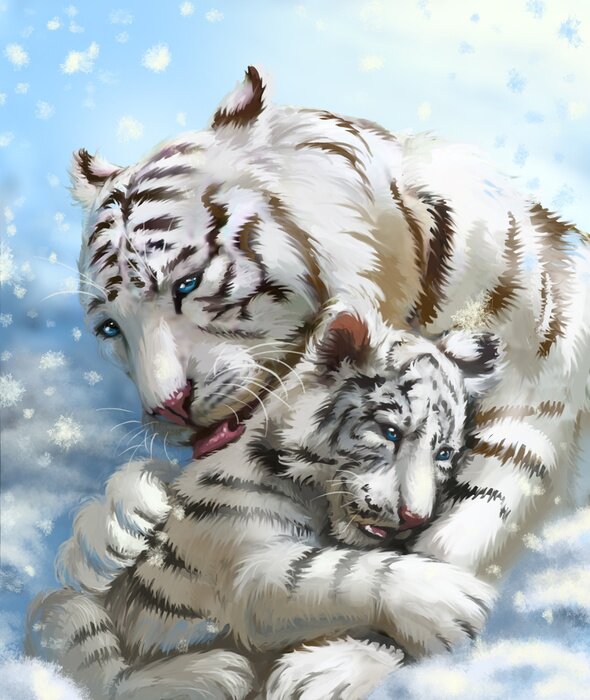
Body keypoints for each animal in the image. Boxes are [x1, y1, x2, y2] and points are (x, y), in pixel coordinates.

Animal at [27, 313, 501, 700]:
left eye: (444, 454)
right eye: (389, 432)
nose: (413, 518)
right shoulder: (246, 565)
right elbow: (333, 574)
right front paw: (452, 602)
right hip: (61, 609)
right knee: (107, 678)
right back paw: (217, 672)